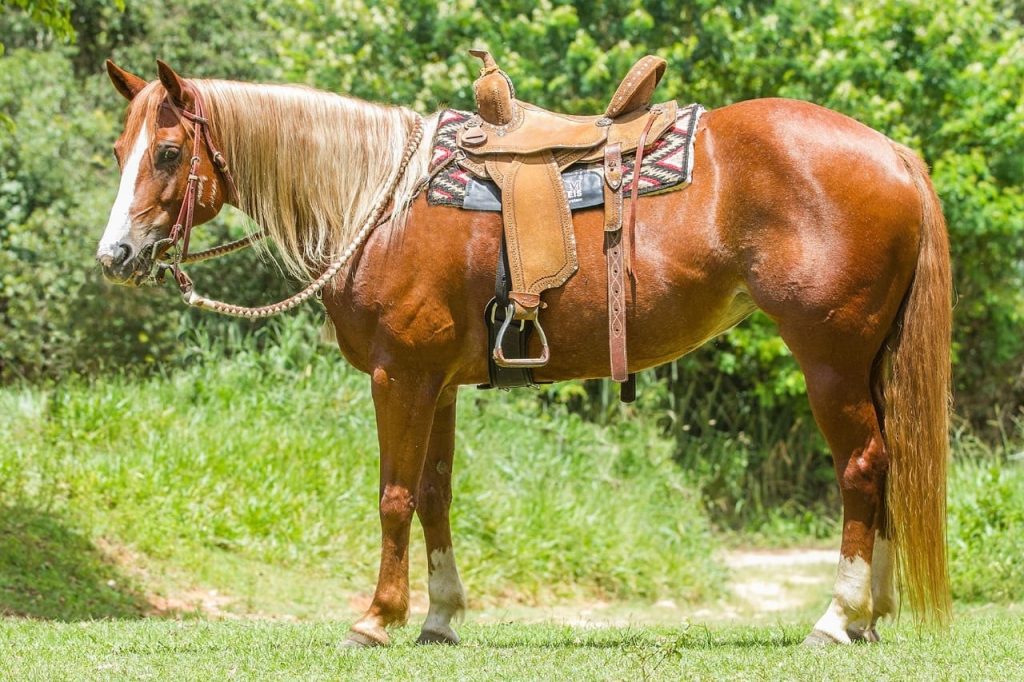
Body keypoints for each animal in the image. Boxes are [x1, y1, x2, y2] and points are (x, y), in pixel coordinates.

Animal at [96, 61, 950, 647]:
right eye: (118, 150)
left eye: (167, 153)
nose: (116, 255)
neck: (381, 206)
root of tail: (894, 153)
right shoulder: (436, 384)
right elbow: (434, 494)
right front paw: (439, 617)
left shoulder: (400, 377)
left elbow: (393, 497)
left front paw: (375, 619)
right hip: (865, 361)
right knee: (883, 465)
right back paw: (869, 617)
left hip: (830, 358)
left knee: (862, 467)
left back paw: (838, 616)